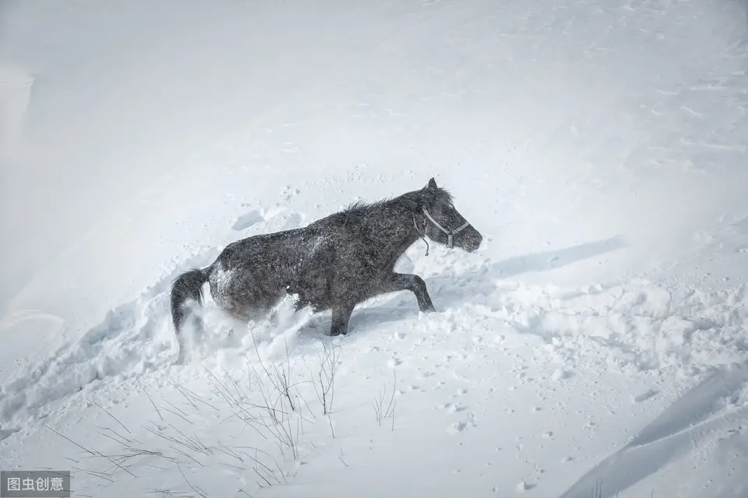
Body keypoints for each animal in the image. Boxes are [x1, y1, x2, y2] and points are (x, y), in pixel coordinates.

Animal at [170, 178, 482, 362]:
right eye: (445, 211)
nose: (476, 239)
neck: (366, 238)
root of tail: (212, 270)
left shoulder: (378, 283)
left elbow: (417, 282)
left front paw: (430, 313)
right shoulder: (344, 303)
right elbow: (338, 333)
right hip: (250, 317)